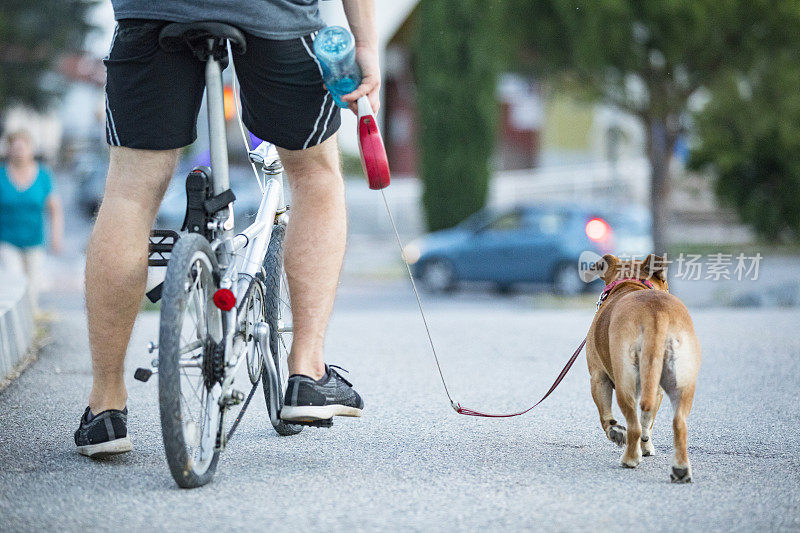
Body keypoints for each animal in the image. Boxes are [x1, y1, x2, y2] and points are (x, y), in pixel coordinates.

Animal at [588, 254, 700, 482]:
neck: (630, 283)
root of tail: (656, 313)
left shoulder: (598, 377)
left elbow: (606, 417)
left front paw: (616, 432)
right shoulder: (656, 389)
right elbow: (648, 420)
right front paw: (646, 447)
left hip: (625, 383)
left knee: (633, 426)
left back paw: (630, 458)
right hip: (681, 383)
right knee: (678, 424)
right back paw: (680, 469)